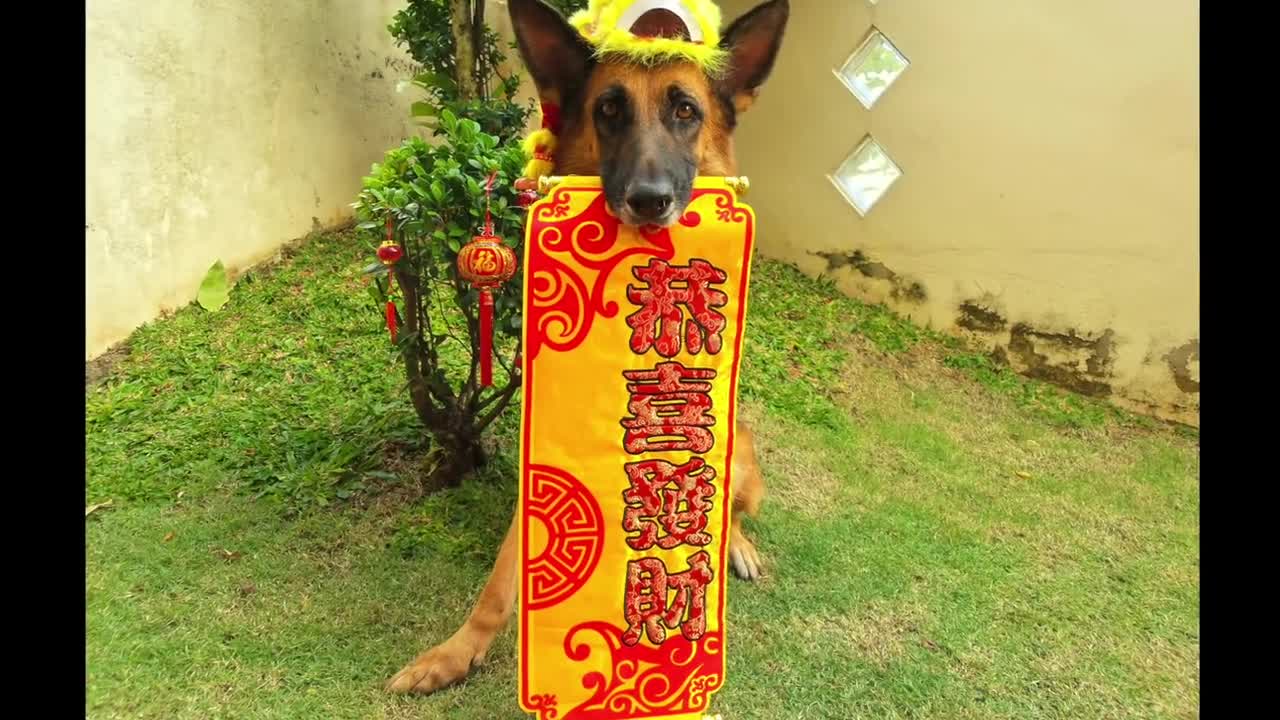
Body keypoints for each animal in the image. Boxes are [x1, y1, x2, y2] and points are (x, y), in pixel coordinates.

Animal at [386, 0, 788, 696]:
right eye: (609, 110)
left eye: (686, 111)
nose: (649, 201)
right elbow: (501, 582)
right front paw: (457, 652)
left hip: (737, 452)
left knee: (734, 511)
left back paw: (736, 545)